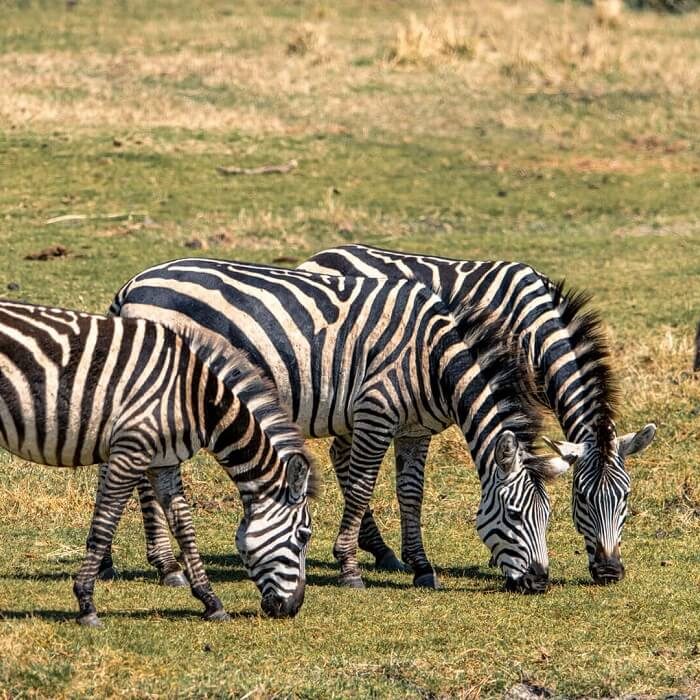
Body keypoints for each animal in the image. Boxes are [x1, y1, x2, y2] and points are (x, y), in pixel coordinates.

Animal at [0, 299, 314, 626]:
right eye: (303, 535)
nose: (293, 608)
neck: (197, 399)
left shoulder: (164, 462)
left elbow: (184, 527)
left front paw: (211, 601)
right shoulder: (131, 450)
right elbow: (105, 525)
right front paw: (86, 603)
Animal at [102, 257, 572, 592]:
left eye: (549, 515)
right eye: (515, 513)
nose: (539, 583)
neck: (432, 359)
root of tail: (133, 284)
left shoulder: (415, 430)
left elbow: (411, 494)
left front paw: (420, 567)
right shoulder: (375, 412)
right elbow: (362, 488)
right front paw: (349, 567)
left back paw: (112, 563)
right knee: (142, 478)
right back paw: (166, 567)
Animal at [299, 244, 656, 584]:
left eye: (625, 497)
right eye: (581, 497)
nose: (609, 572)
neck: (534, 329)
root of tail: (323, 254)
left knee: (340, 452)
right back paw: (377, 548)